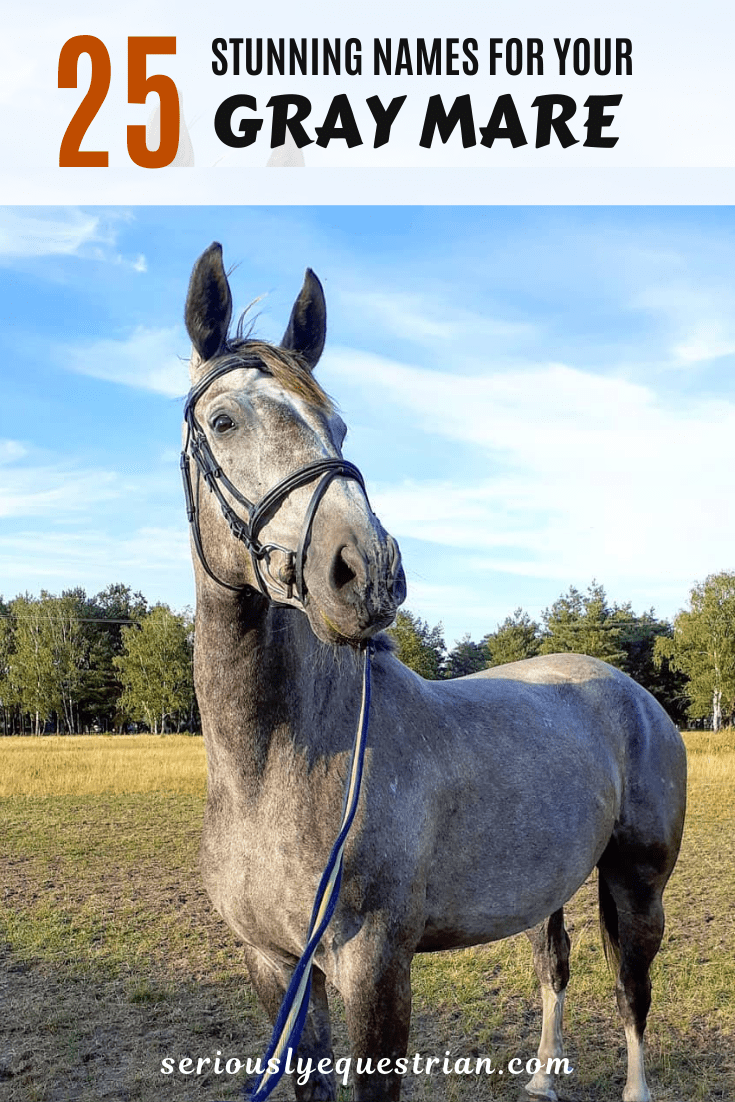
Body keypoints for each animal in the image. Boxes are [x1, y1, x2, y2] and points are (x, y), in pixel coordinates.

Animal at [181, 242, 687, 1102]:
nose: (366, 570)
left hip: (636, 884)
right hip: (548, 884)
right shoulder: (276, 967)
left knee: (631, 989)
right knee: (553, 966)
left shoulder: (374, 964)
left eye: (337, 423)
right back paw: (541, 1078)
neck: (278, 761)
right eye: (223, 421)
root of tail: (633, 697)